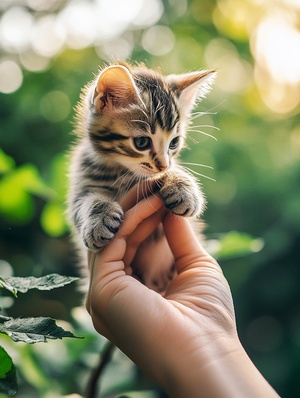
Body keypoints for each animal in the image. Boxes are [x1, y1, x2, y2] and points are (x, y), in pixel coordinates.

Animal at [68, 62, 214, 290]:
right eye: (142, 142)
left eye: (174, 143)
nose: (163, 165)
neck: (121, 172)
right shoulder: (81, 183)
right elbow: (86, 202)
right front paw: (99, 221)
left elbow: (175, 173)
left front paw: (183, 188)